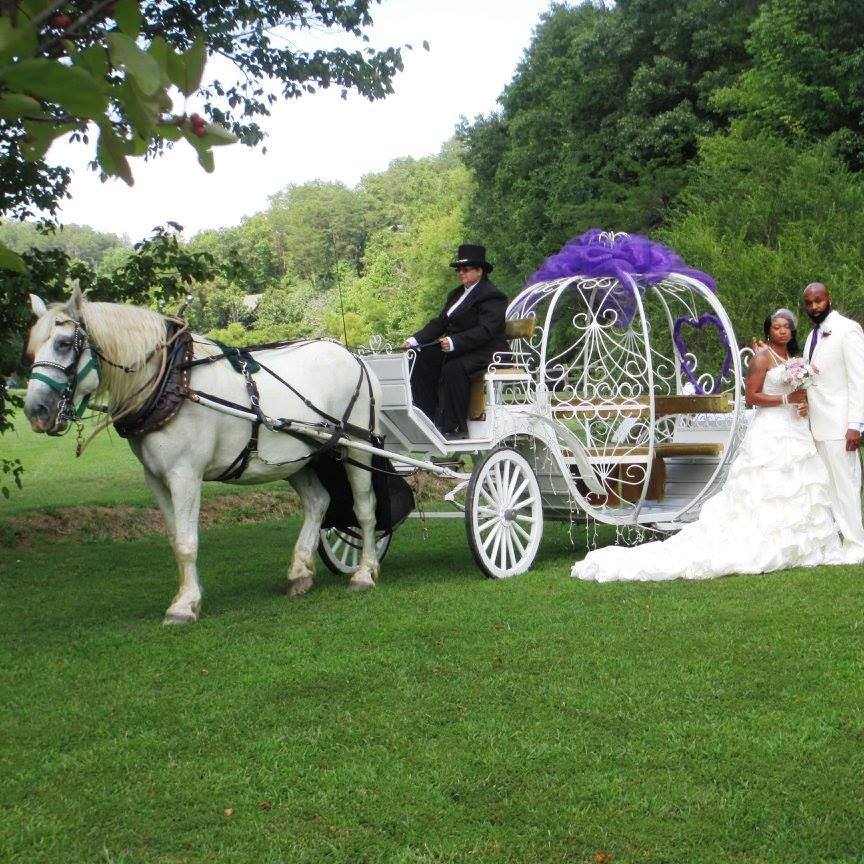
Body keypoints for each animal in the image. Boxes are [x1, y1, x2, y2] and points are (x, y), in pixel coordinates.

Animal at [24, 290, 382, 620]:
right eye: (31, 349)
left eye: (64, 343)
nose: (35, 411)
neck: (172, 379)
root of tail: (355, 357)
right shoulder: (156, 478)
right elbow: (175, 539)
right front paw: (187, 595)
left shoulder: (185, 474)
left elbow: (187, 542)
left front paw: (184, 605)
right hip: (298, 456)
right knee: (318, 502)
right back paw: (299, 572)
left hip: (357, 445)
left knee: (364, 508)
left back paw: (365, 571)